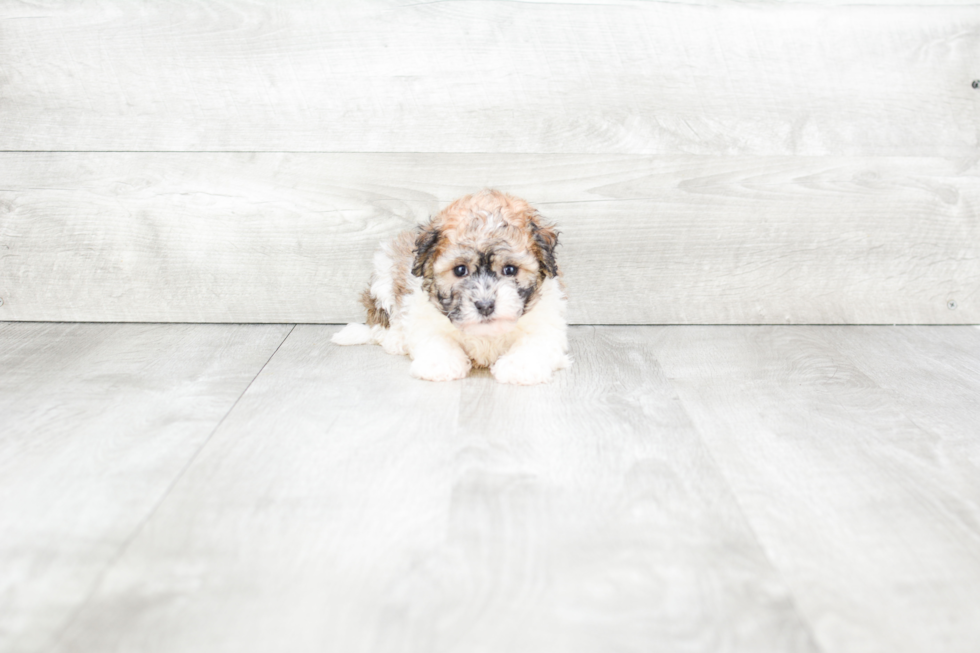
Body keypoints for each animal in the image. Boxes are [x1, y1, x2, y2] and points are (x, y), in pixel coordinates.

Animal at [334, 188, 572, 382]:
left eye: (510, 270)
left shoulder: (547, 321)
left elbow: (535, 342)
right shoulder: (424, 315)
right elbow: (436, 338)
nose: (485, 306)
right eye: (460, 270)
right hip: (384, 275)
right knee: (380, 323)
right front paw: (439, 364)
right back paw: (396, 339)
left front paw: (519, 367)